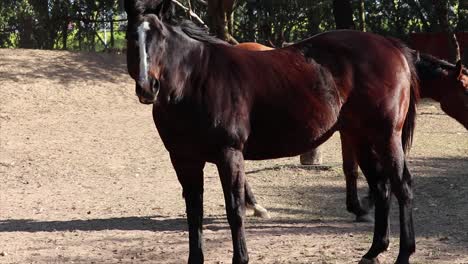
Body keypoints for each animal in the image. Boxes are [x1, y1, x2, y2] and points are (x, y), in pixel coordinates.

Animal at [125, 1, 420, 262]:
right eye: (131, 37)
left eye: (161, 38)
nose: (148, 87)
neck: (196, 81)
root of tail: (392, 46)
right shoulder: (184, 160)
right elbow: (194, 212)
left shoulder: (229, 154)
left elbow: (234, 210)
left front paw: (241, 257)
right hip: (362, 138)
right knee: (381, 188)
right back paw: (373, 251)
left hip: (385, 136)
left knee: (402, 187)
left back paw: (403, 254)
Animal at [238, 41, 468, 223]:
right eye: (465, 88)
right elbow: (357, 168)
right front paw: (364, 203)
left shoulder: (351, 133)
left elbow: (351, 168)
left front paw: (359, 205)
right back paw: (254, 205)